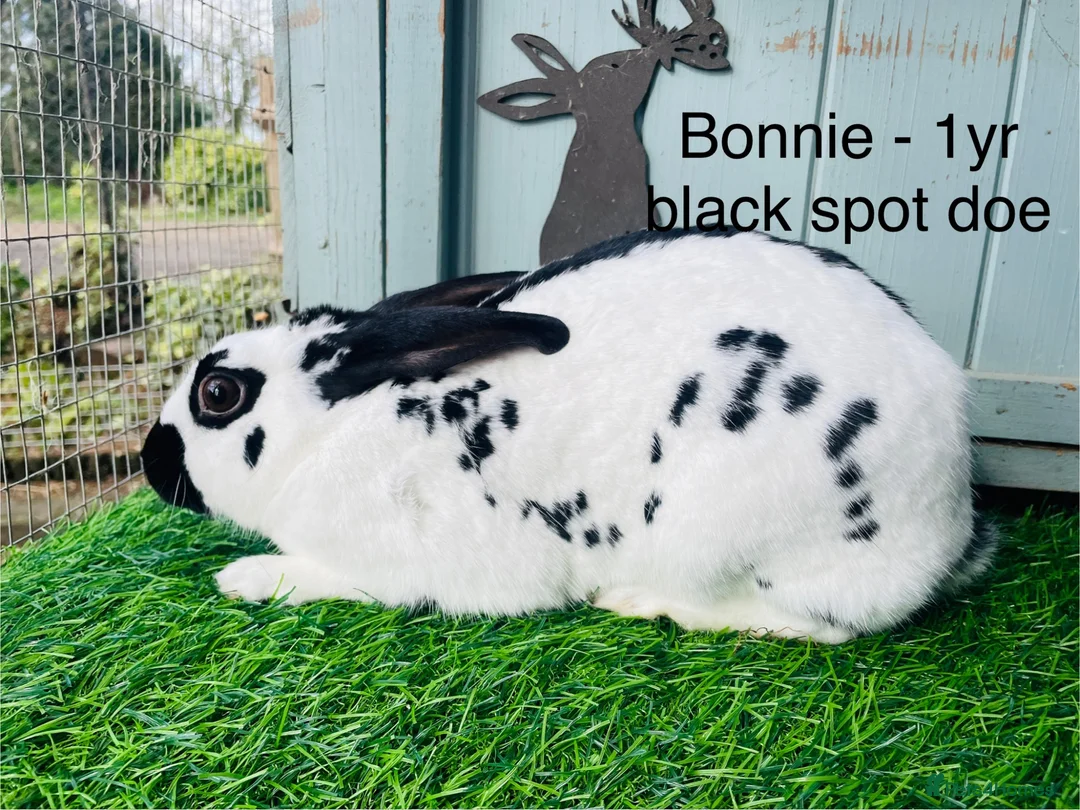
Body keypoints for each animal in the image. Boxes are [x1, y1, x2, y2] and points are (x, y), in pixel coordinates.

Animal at [140, 228, 997, 644]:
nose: (151, 463)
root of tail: (950, 528)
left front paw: (246, 577)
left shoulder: (426, 564)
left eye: (218, 394)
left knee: (817, 627)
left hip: (731, 536)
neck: (335, 427)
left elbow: (333, 577)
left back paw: (639, 601)